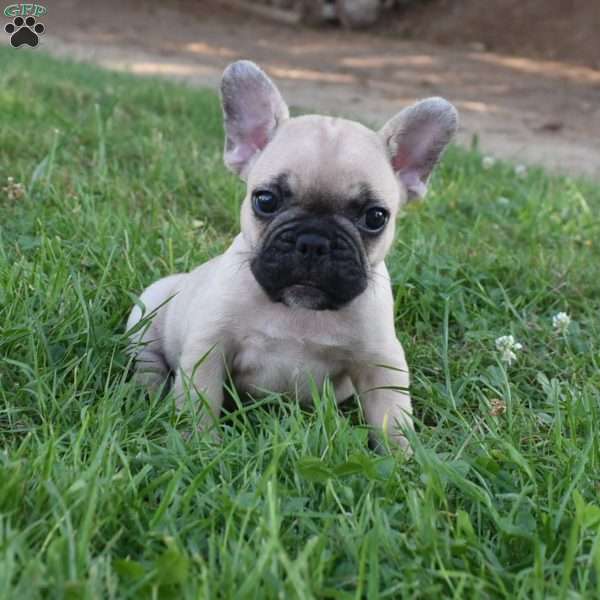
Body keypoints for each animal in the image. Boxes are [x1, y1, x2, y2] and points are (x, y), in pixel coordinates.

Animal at [129, 62, 458, 454]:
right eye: (265, 200)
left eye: (375, 217)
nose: (313, 241)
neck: (299, 314)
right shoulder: (209, 349)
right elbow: (200, 403)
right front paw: (200, 444)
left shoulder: (382, 362)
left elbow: (392, 417)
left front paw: (404, 460)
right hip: (147, 311)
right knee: (146, 359)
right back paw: (148, 388)